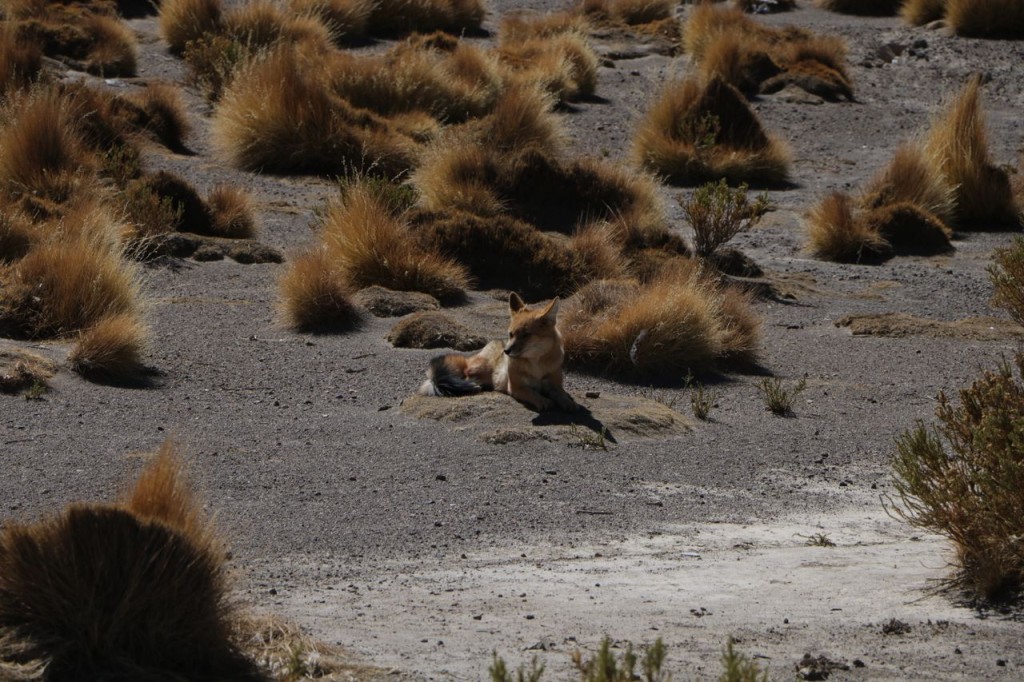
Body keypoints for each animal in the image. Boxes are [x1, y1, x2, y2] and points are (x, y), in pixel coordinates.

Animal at [417, 292, 580, 412]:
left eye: (526, 335)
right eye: (511, 334)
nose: (506, 351)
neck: (536, 367)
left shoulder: (554, 384)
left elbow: (561, 394)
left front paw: (569, 402)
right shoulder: (516, 387)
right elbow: (533, 393)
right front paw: (544, 401)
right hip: (481, 369)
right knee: (465, 376)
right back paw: (472, 385)